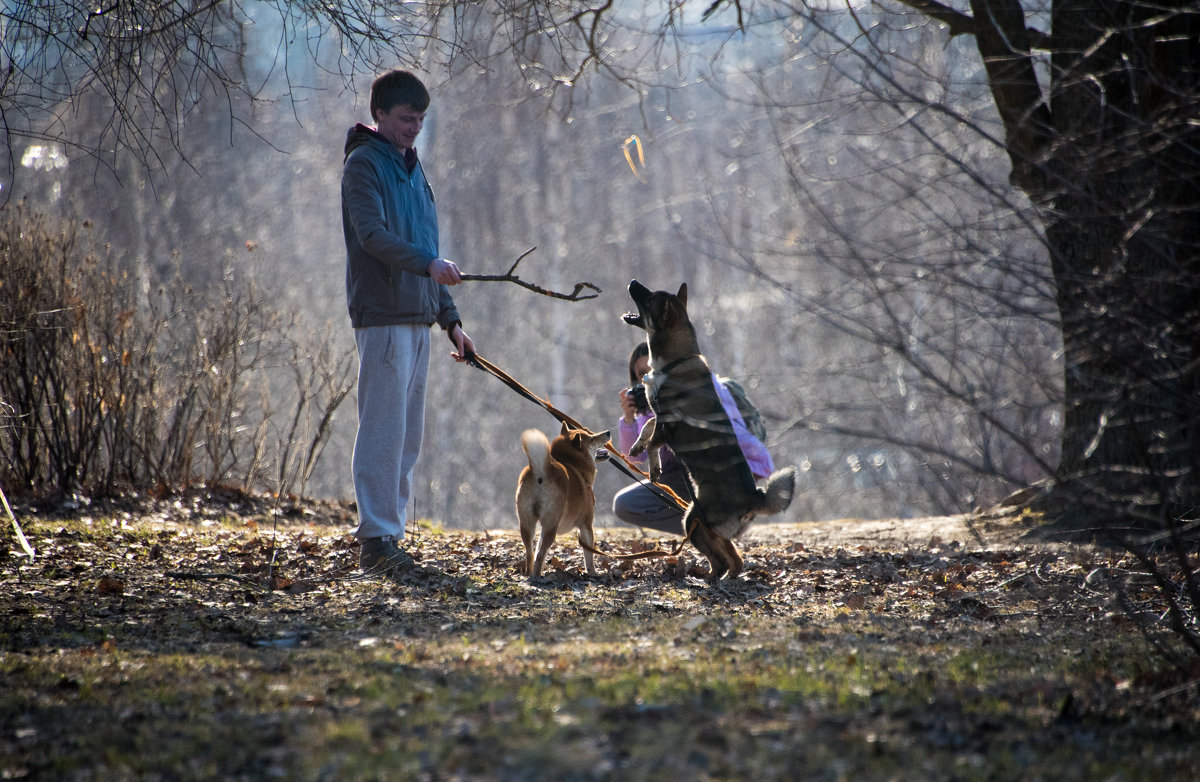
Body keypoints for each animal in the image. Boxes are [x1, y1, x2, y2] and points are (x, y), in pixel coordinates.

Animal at [513, 422, 609, 580]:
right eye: (591, 439)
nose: (608, 432)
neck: (572, 463)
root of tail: (541, 470)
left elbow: (539, 550)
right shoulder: (586, 525)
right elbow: (589, 554)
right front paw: (593, 573)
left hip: (527, 523)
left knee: (531, 553)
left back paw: (529, 573)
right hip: (551, 525)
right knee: (540, 554)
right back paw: (537, 577)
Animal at [619, 280, 796, 580]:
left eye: (651, 297)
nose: (632, 282)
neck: (675, 360)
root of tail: (754, 498)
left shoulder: (668, 423)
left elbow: (654, 441)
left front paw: (654, 467)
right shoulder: (660, 416)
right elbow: (649, 429)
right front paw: (637, 446)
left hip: (694, 520)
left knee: (726, 562)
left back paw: (709, 579)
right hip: (701, 523)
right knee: (733, 561)